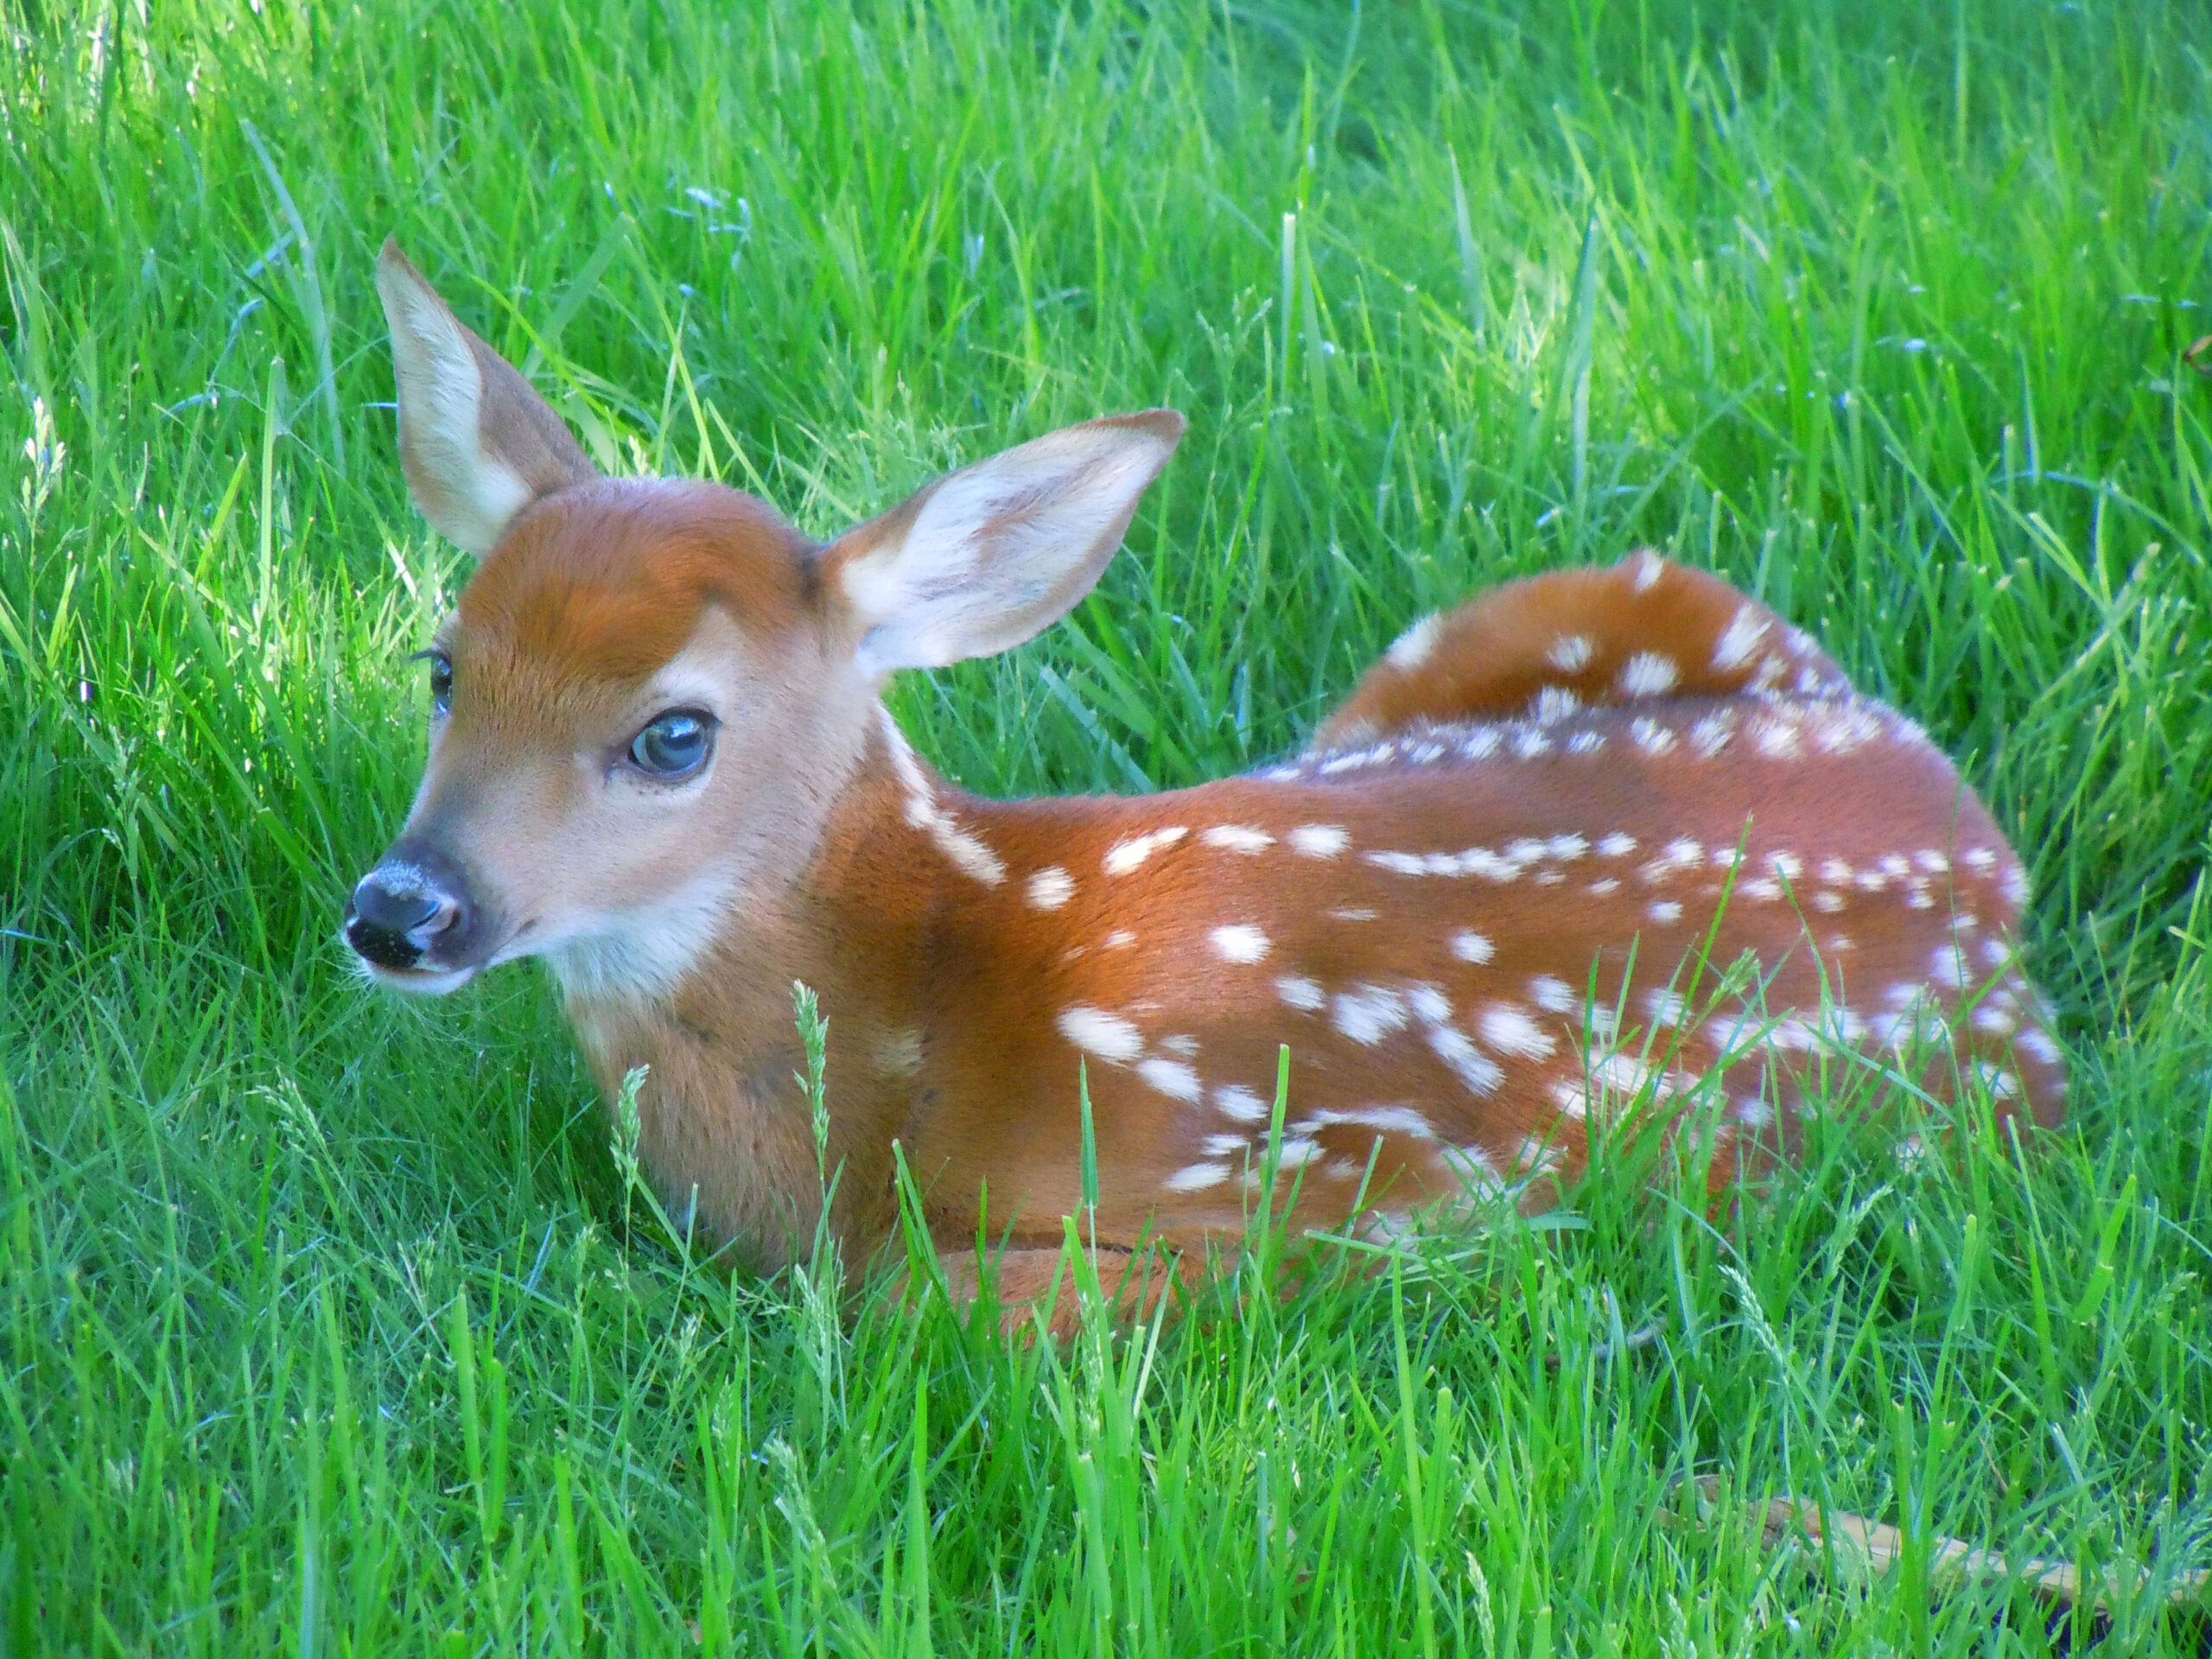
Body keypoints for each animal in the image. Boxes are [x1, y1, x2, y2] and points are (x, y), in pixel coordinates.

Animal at [345, 240, 2066, 1324]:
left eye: (674, 734)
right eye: (445, 666)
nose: (401, 908)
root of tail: (1984, 851)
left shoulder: (1297, 1202)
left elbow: (923, 1297)